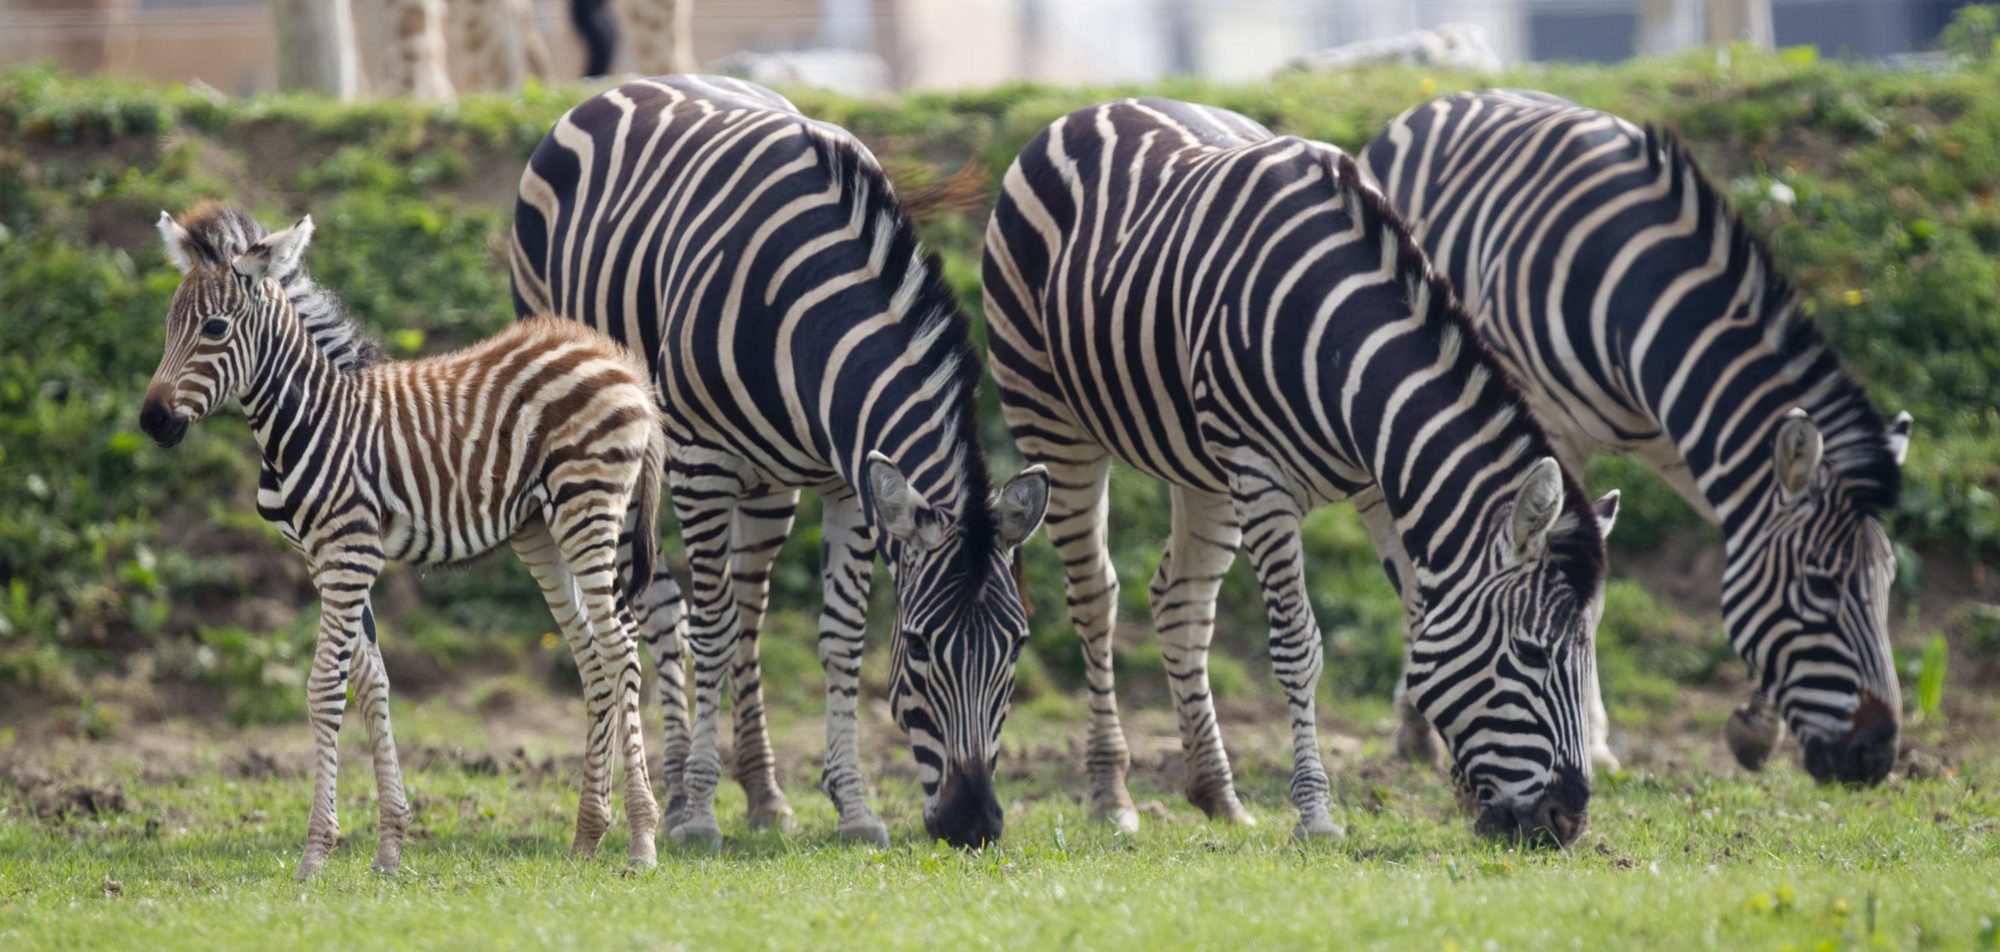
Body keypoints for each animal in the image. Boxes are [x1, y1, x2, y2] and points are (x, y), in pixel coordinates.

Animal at [145, 205, 672, 880]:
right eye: (169, 325)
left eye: (214, 327)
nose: (152, 422)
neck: (308, 418)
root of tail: (618, 360)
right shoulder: (326, 557)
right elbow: (372, 685)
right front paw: (390, 848)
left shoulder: (349, 552)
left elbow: (325, 688)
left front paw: (315, 854)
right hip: (542, 529)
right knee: (589, 653)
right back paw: (586, 837)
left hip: (590, 508)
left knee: (620, 647)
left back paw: (642, 841)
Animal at [508, 74, 1056, 848]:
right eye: (920, 647)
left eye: (1015, 645)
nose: (972, 823)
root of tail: (631, 85)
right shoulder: (701, 464)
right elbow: (707, 632)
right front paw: (698, 815)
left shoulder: (848, 484)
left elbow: (838, 640)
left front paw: (852, 808)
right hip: (627, 452)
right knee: (662, 609)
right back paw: (672, 786)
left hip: (768, 487)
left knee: (747, 614)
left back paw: (764, 794)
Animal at [984, 95, 1624, 840]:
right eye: (1530, 653)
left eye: (1586, 652)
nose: (1566, 821)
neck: (1349, 351)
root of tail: (1098, 107)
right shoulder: (1262, 477)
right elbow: (1298, 646)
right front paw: (1316, 814)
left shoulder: (1381, 483)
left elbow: (1420, 619)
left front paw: (1467, 791)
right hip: (1052, 421)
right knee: (1096, 599)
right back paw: (1111, 794)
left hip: (1200, 465)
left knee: (1178, 600)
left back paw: (1217, 794)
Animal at [1368, 91, 1912, 788]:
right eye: (1822, 585)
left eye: (1888, 581)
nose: (1876, 758)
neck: (1637, 297)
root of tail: (1447, 98)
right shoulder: (1548, 439)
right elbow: (1582, 599)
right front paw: (1597, 746)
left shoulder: (1696, 445)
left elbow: (1748, 546)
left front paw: (1756, 728)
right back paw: (1415, 728)